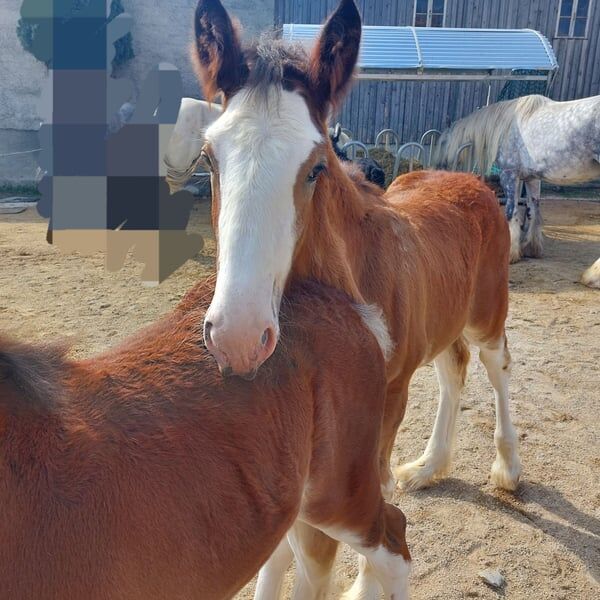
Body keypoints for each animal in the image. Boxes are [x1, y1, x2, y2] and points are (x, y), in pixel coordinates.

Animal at [193, 0, 520, 528]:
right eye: (208, 158)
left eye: (317, 166)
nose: (237, 338)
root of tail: (473, 181)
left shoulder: (390, 396)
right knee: (454, 368)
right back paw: (429, 466)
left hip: (487, 314)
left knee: (497, 366)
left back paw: (508, 468)